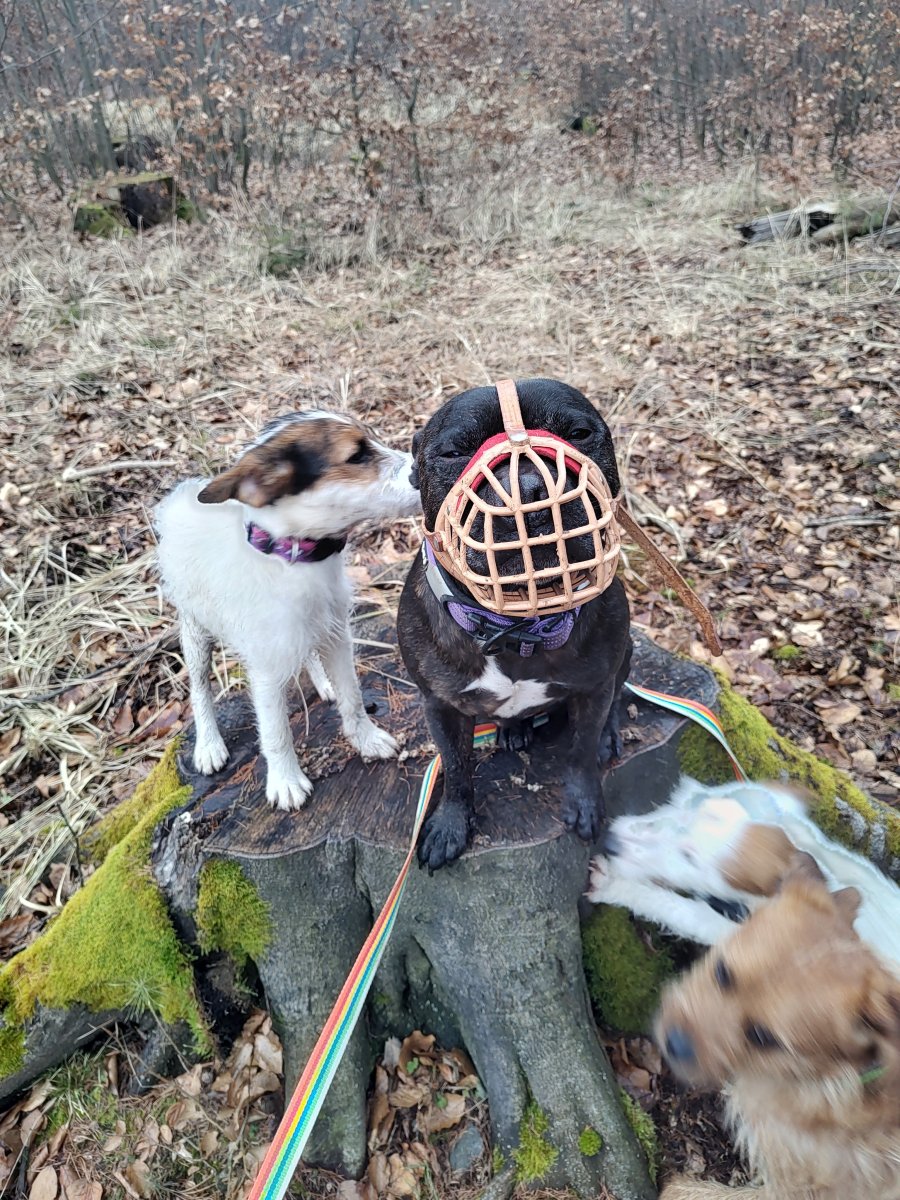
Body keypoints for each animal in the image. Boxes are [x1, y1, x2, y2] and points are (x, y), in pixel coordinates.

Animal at [156, 411, 421, 809]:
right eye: (357, 455)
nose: (426, 470)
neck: (294, 560)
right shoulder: (265, 670)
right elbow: (275, 731)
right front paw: (285, 780)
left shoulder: (337, 637)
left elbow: (353, 698)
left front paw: (366, 738)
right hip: (195, 629)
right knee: (200, 687)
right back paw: (208, 744)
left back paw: (322, 683)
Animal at [397, 378, 631, 870]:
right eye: (453, 452)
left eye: (579, 433)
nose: (528, 488)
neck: (519, 627)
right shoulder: (439, 706)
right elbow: (456, 768)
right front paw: (450, 824)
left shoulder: (594, 688)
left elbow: (581, 750)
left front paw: (584, 802)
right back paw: (513, 730)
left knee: (618, 696)